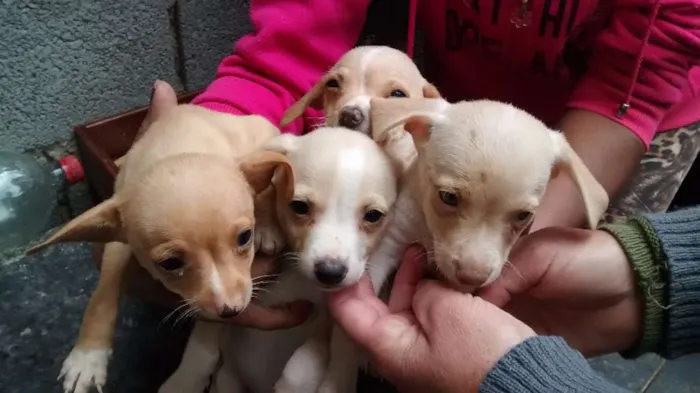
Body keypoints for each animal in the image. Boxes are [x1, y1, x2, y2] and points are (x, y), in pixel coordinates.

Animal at [25, 81, 292, 392]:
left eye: (244, 237)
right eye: (170, 263)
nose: (231, 311)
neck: (179, 146)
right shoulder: (118, 240)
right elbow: (104, 292)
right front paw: (88, 357)